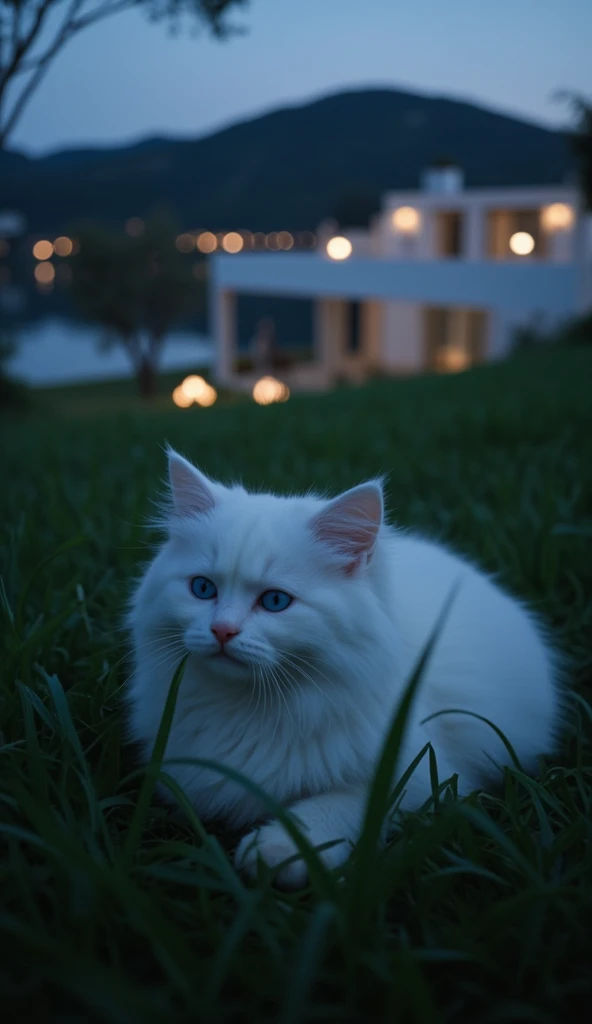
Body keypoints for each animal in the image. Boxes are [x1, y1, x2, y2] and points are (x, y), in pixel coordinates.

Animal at [125, 448, 561, 888]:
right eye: (203, 589)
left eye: (276, 601)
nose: (222, 630)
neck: (247, 708)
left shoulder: (423, 779)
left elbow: (331, 808)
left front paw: (277, 851)